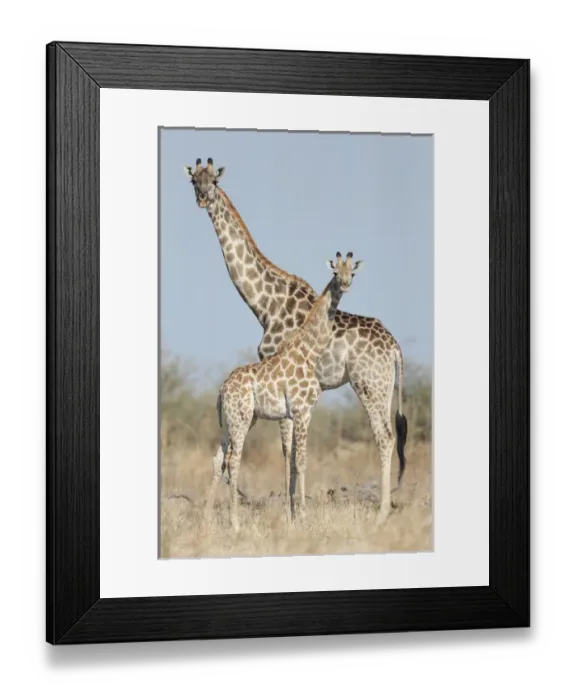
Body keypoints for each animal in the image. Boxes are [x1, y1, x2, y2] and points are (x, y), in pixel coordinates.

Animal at [205, 252, 363, 530]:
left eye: (352, 272)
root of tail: (222, 390)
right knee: (233, 459)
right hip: (241, 419)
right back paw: (235, 522)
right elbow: (301, 462)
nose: (344, 285)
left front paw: (296, 516)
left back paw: (206, 520)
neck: (310, 350)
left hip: (236, 420)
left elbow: (294, 461)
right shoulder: (301, 411)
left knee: (218, 459)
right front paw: (303, 516)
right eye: (335, 272)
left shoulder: (300, 413)